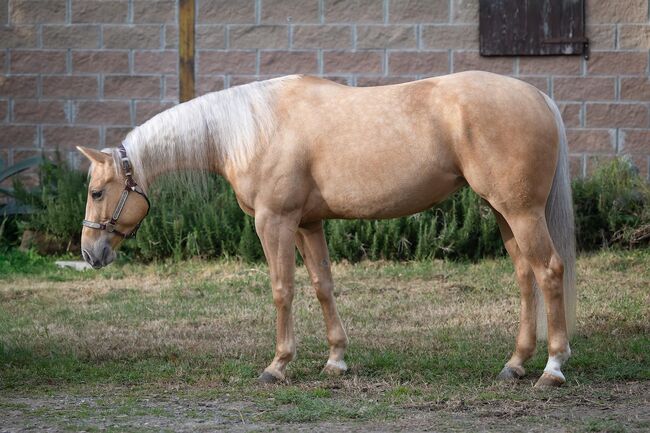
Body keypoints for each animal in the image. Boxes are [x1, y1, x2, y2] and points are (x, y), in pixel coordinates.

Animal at [79, 71, 572, 388]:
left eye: (98, 192)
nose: (89, 253)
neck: (254, 130)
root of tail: (538, 97)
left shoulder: (274, 221)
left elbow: (282, 289)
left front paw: (278, 365)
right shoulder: (307, 223)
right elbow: (322, 285)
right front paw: (336, 360)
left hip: (521, 211)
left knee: (548, 271)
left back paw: (552, 368)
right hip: (502, 212)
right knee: (525, 277)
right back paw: (515, 364)